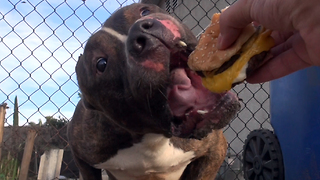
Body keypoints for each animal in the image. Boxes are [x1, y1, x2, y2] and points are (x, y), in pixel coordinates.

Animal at [69, 2, 240, 180]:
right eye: (101, 64)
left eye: (144, 11)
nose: (141, 31)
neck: (153, 138)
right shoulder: (83, 157)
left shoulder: (215, 150)